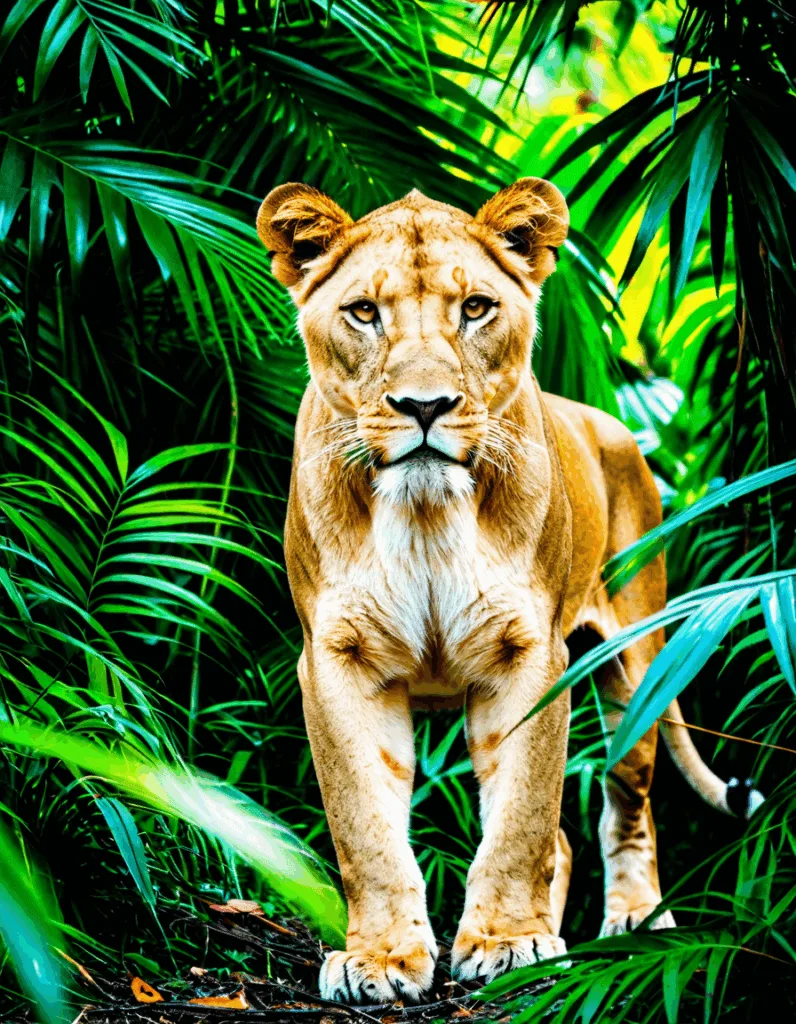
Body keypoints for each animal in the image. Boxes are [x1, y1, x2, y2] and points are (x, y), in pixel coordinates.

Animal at [256, 178, 762, 1004]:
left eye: (475, 308)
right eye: (363, 312)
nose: (424, 406)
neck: (425, 514)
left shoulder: (528, 654)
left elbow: (522, 815)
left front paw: (506, 943)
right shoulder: (337, 661)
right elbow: (365, 824)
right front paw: (381, 958)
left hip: (638, 660)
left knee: (626, 801)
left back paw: (632, 924)